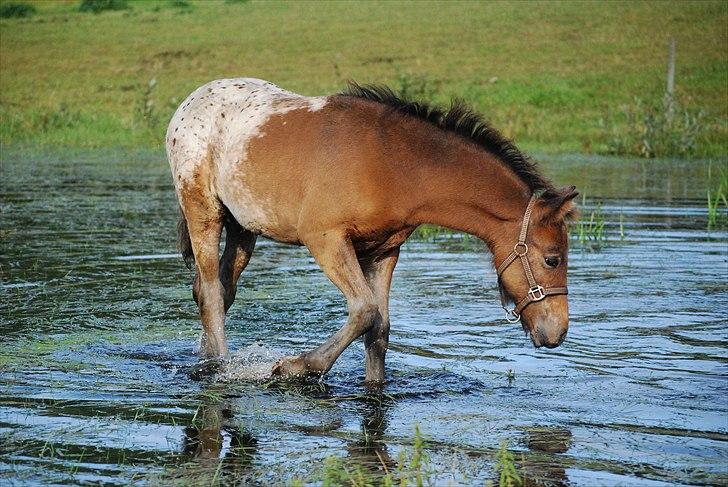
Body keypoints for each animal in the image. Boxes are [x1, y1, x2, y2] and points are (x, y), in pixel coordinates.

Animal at [168, 76, 576, 384]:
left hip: (243, 228)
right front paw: (297, 366)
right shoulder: (326, 240)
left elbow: (379, 328)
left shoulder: (383, 252)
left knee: (219, 288)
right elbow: (364, 311)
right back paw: (220, 366)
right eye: (552, 259)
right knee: (211, 292)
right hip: (203, 213)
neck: (392, 166)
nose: (557, 332)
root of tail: (186, 105)